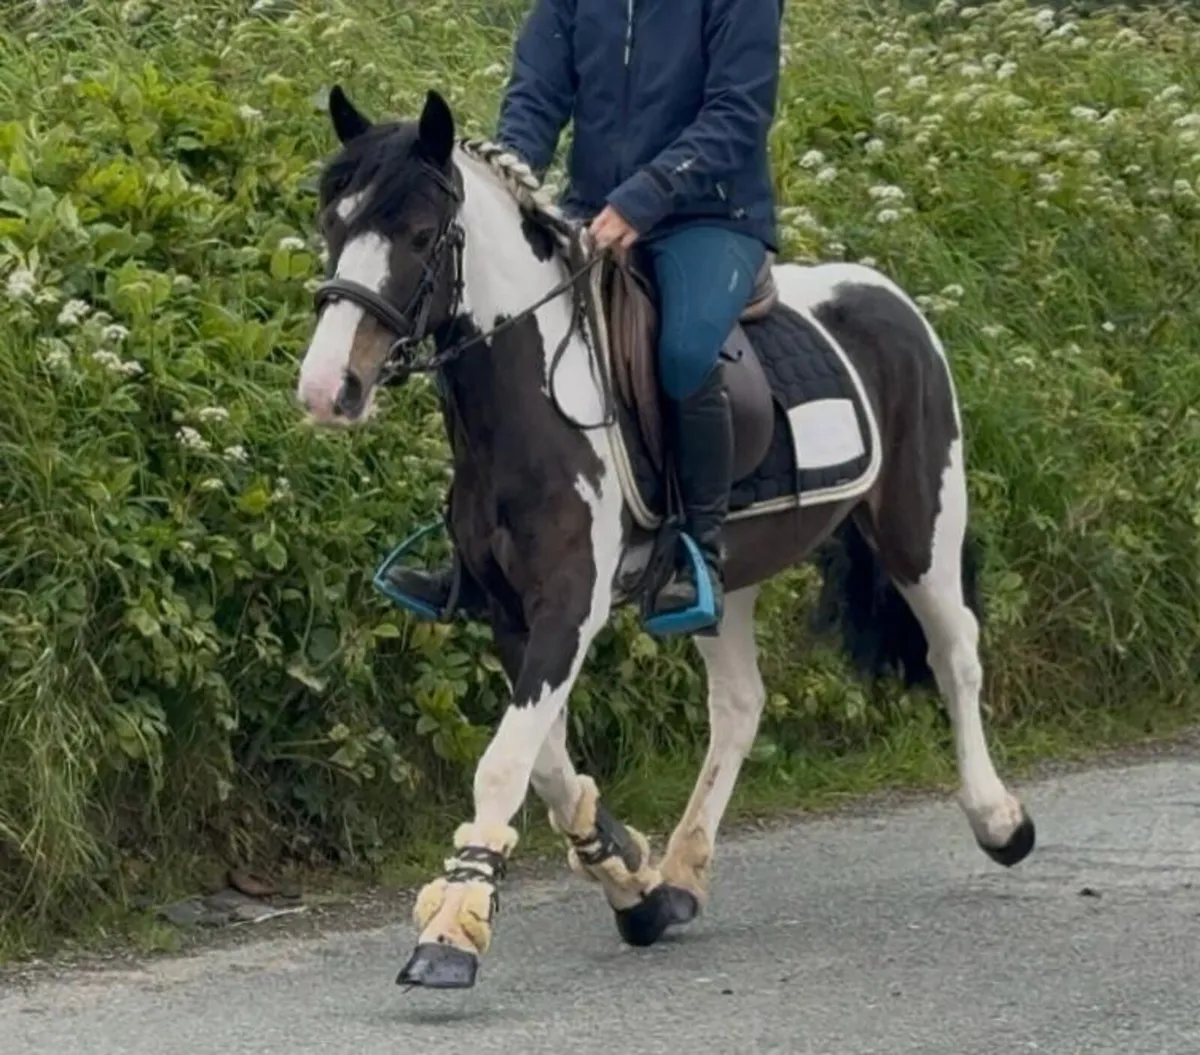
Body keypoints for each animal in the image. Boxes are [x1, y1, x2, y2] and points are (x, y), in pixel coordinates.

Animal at [295, 85, 1036, 991]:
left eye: (418, 233)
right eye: (334, 221)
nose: (327, 388)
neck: (532, 404)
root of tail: (883, 293)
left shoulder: (569, 604)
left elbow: (505, 760)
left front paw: (452, 929)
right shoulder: (509, 611)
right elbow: (545, 760)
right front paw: (625, 871)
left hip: (919, 524)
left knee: (954, 653)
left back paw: (1000, 821)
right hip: (725, 579)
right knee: (741, 703)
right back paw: (682, 873)